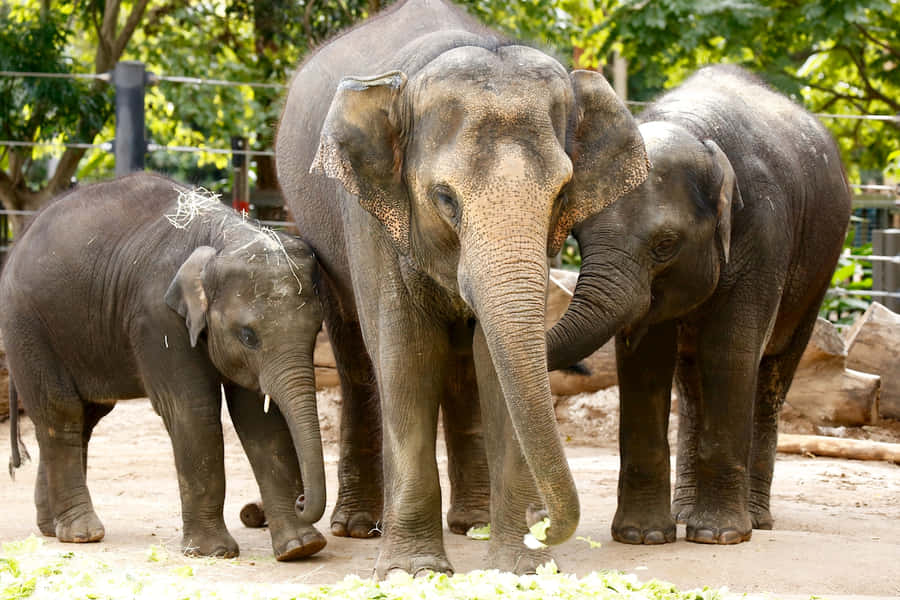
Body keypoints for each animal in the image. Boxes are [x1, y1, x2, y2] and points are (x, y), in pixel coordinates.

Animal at [1, 172, 327, 561]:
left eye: (317, 330)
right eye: (248, 336)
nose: (301, 500)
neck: (224, 235)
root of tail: (20, 239)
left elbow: (259, 419)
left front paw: (300, 548)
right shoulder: (156, 318)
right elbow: (193, 410)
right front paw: (212, 553)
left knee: (85, 416)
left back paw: (52, 528)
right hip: (27, 325)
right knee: (61, 413)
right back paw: (82, 533)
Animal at [275, 0, 648, 576]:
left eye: (562, 194)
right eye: (445, 198)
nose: (546, 529)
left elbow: (492, 361)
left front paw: (517, 567)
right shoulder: (372, 214)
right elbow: (406, 354)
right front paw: (413, 571)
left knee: (462, 367)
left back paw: (473, 523)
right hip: (316, 230)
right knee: (357, 357)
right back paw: (357, 526)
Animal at [547, 65, 851, 545]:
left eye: (665, 244)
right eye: (577, 235)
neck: (694, 130)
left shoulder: (764, 233)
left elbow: (729, 352)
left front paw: (719, 536)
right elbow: (645, 361)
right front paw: (643, 538)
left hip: (821, 269)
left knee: (773, 371)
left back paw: (754, 520)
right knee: (690, 384)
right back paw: (684, 511)